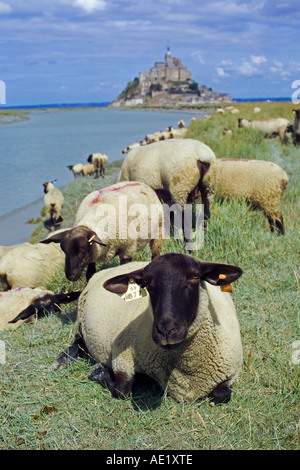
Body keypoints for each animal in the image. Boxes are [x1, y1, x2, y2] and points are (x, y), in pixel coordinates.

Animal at [55, 253, 244, 404]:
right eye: (146, 282)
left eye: (195, 276)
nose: (166, 331)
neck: (187, 373)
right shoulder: (122, 356)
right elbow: (121, 390)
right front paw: (98, 371)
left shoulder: (231, 373)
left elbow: (222, 395)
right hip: (81, 316)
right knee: (78, 340)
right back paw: (63, 358)